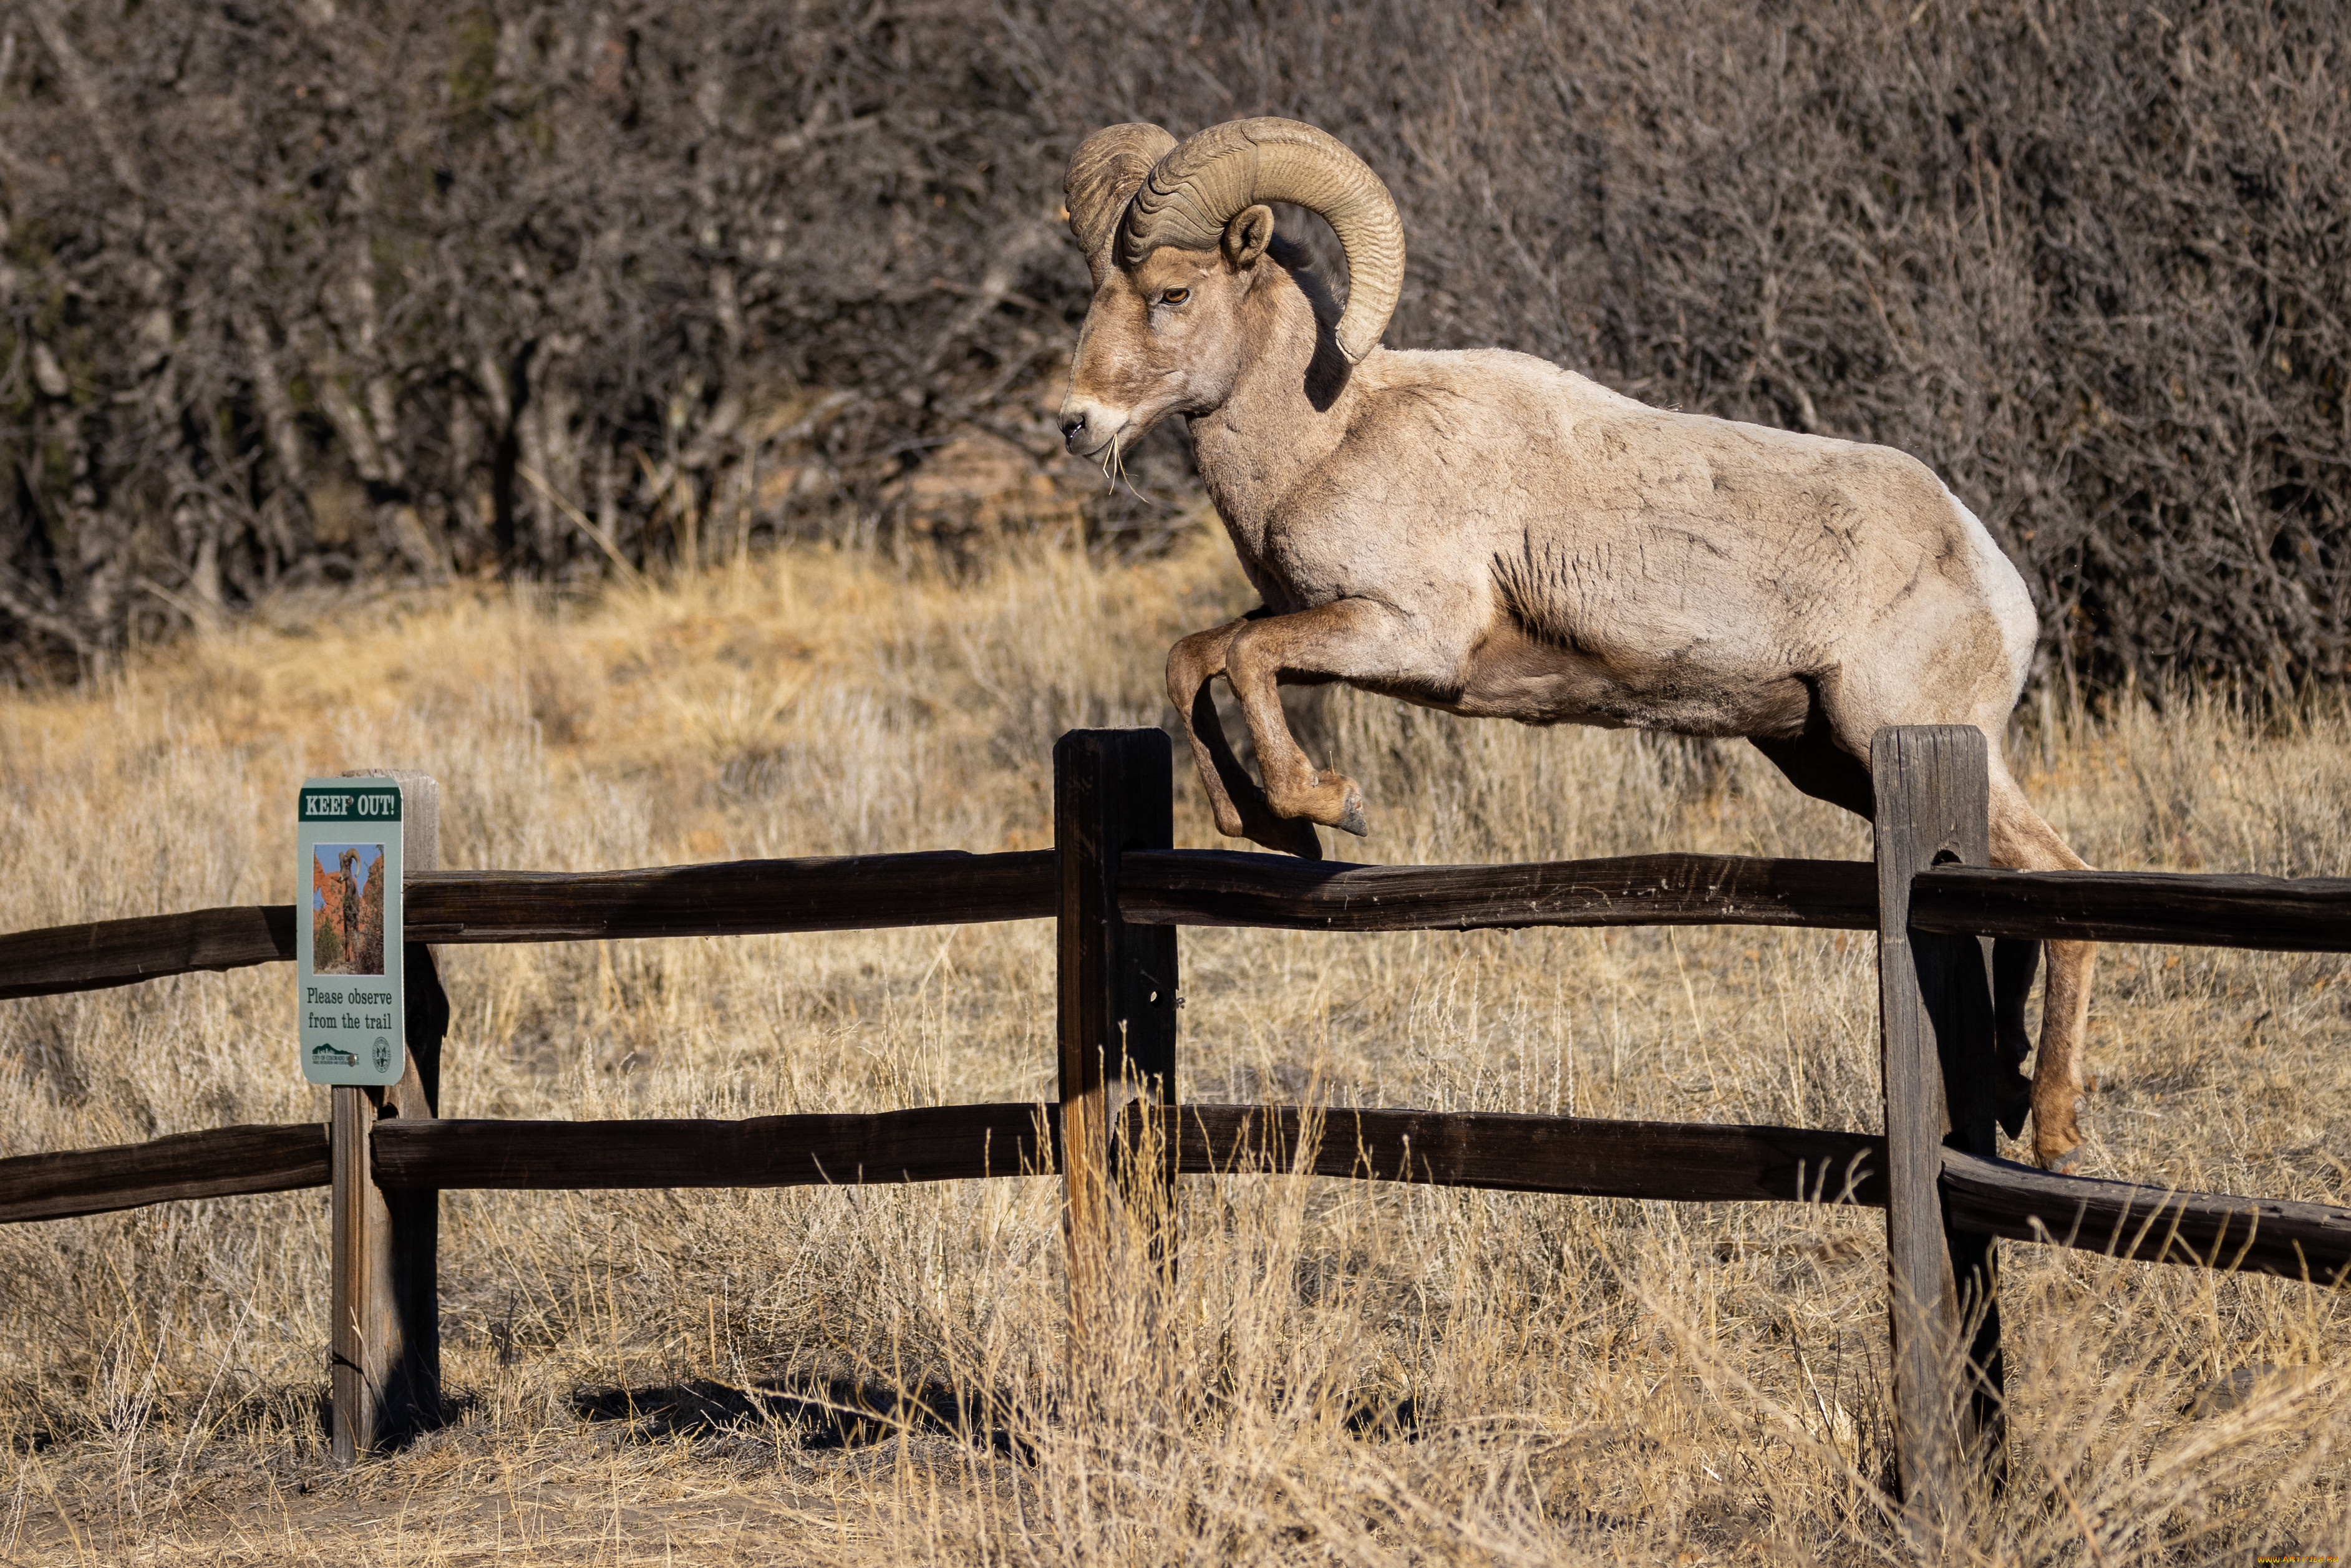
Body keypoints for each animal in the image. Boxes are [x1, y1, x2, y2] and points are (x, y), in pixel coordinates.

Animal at [1058, 116, 2106, 1171]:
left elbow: (1245, 661)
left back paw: (2055, 1125)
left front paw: (1324, 808)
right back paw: (2008, 1089)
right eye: (1097, 293)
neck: (1326, 438)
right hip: (1835, 759)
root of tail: (1994, 576)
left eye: (1173, 293)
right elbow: (1195, 659)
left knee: (2063, 882)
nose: (1076, 423)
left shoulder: (1411, 638)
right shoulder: (1307, 623)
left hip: (1902, 733)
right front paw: (1266, 825)